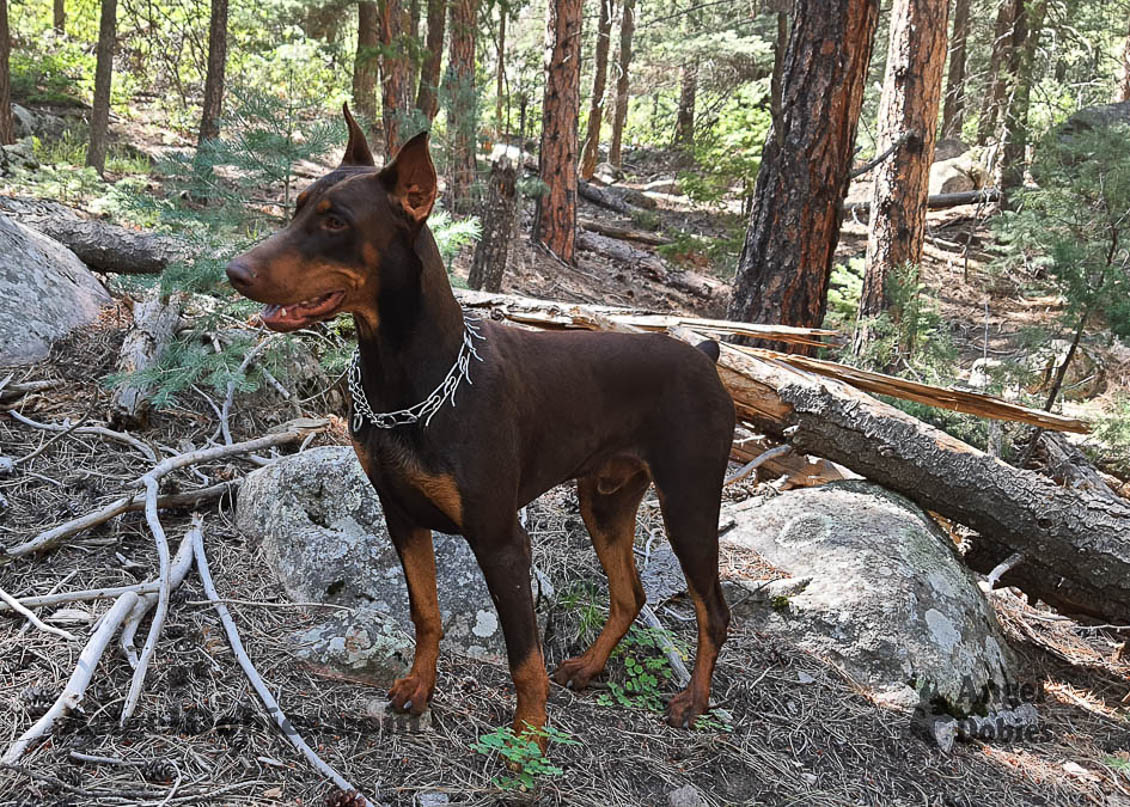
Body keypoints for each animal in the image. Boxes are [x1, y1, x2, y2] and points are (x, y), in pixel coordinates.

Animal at [228, 106, 736, 741]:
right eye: (297, 207)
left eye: (336, 221)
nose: (233, 270)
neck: (408, 383)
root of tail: (705, 356)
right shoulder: (400, 515)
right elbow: (426, 613)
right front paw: (419, 688)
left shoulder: (500, 539)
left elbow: (524, 656)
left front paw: (530, 735)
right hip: (605, 500)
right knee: (630, 595)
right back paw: (589, 666)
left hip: (689, 503)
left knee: (713, 610)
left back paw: (694, 699)